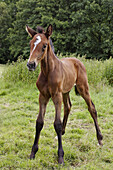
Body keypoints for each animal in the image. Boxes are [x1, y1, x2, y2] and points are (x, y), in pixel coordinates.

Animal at [25, 24, 103, 164]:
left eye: (44, 45)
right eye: (30, 43)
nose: (31, 64)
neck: (48, 72)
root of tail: (77, 60)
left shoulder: (56, 95)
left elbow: (57, 123)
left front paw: (60, 156)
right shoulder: (43, 96)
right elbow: (39, 122)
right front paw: (33, 153)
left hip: (83, 88)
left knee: (92, 108)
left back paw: (99, 139)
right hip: (66, 92)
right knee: (68, 107)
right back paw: (61, 133)